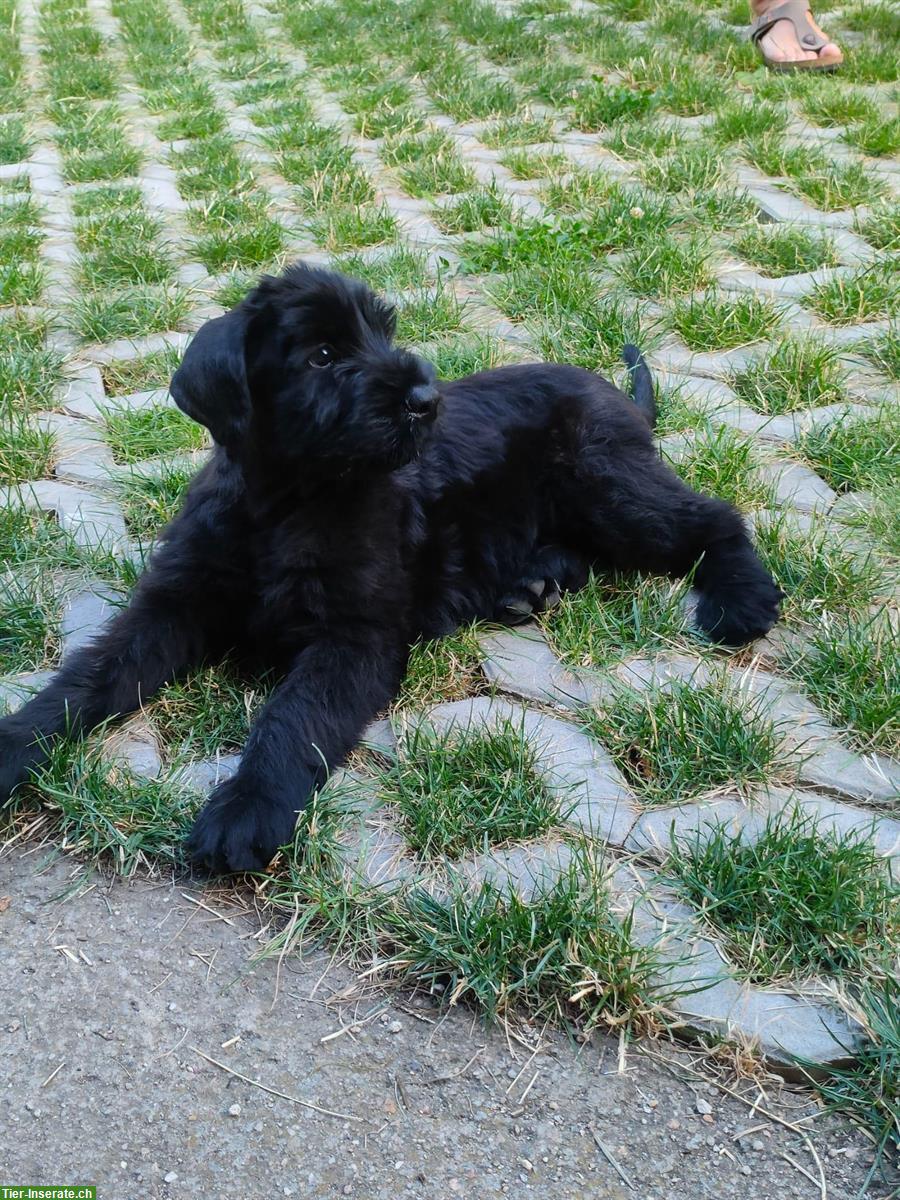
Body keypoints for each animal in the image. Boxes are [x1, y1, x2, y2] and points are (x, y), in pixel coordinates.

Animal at [0, 265, 782, 873]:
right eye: (321, 355)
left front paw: (248, 807)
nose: (425, 400)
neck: (287, 504)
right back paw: (532, 584)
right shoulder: (171, 604)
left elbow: (292, 716)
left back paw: (741, 600)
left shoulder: (355, 638)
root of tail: (622, 398)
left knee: (712, 518)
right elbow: (88, 676)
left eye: (380, 333)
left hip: (607, 485)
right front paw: (15, 741)